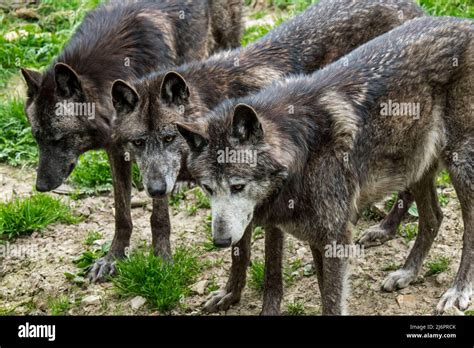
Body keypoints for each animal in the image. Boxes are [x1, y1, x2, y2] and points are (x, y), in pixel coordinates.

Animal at [19, 0, 243, 282]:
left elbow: (159, 217)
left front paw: (162, 260)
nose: (40, 186)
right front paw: (113, 258)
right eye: (36, 137)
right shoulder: (117, 151)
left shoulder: (157, 152)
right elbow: (121, 214)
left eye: (60, 139)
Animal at [112, 0, 426, 314]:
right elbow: (239, 253)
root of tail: (416, 10)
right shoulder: (240, 210)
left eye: (169, 138)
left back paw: (384, 230)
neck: (218, 103)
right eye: (138, 142)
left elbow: (270, 270)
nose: (155, 189)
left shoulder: (270, 209)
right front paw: (230, 294)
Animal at [176, 16, 472, 314]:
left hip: (459, 164)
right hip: (415, 166)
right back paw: (408, 273)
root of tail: (464, 22)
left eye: (238, 186)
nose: (221, 242)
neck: (302, 155)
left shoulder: (334, 240)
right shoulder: (315, 239)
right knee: (434, 217)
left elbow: (330, 301)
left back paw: (457, 290)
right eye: (207, 188)